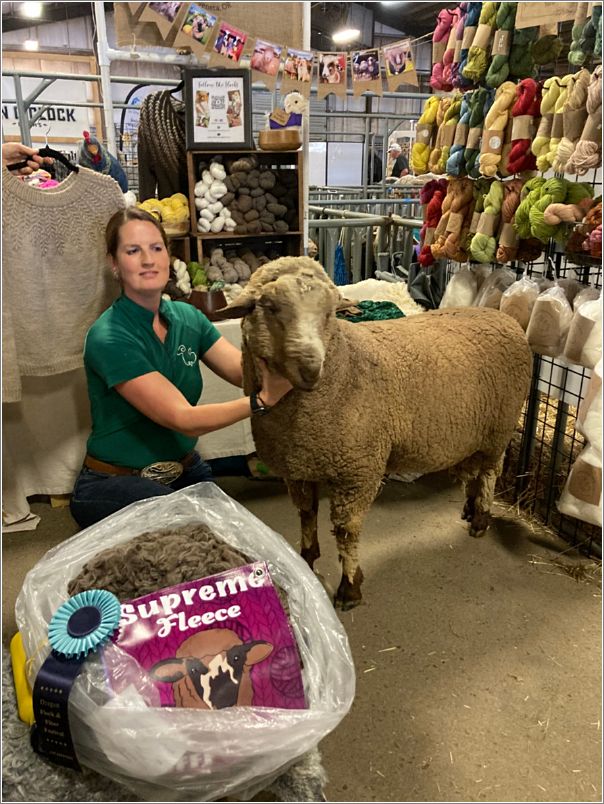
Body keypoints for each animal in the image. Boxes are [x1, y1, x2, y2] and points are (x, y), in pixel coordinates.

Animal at [217, 258, 532, 608]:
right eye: (269, 307)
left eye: (330, 312)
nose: (311, 369)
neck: (344, 362)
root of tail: (503, 318)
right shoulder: (298, 467)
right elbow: (306, 513)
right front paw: (307, 558)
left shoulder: (358, 471)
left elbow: (346, 531)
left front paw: (349, 588)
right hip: (474, 431)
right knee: (474, 470)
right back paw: (469, 508)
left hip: (500, 425)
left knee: (489, 472)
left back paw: (480, 519)